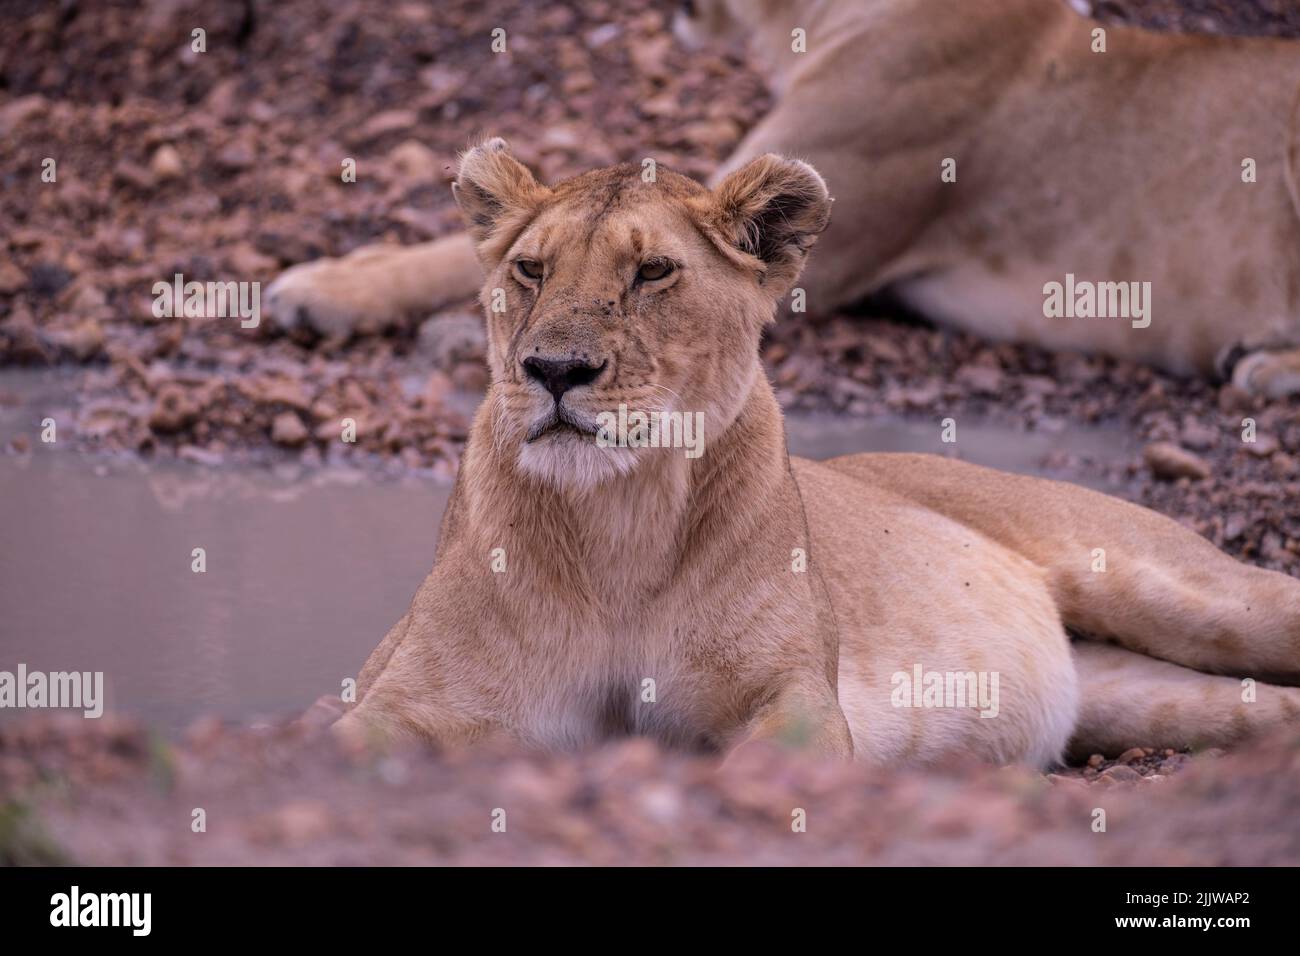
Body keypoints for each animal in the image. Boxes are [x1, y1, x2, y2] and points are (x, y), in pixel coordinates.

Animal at [334, 140, 1300, 765]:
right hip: (1128, 691)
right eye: (530, 270)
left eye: (653, 272)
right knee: (1262, 711)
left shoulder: (792, 691)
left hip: (1179, 586)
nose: (554, 370)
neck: (617, 521)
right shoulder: (397, 700)